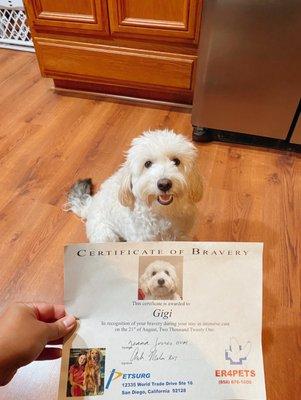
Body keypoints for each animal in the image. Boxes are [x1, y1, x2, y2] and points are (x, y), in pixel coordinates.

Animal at [67, 129, 200, 241]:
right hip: (106, 235)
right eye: (147, 164)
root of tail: (89, 206)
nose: (164, 184)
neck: (162, 212)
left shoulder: (181, 236)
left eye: (176, 161)